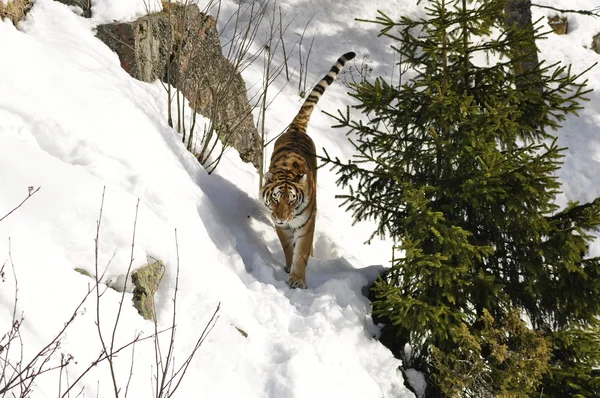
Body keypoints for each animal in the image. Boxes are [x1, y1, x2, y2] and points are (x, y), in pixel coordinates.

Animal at [258, 52, 354, 290]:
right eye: (275, 199)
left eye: (292, 200)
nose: (282, 217)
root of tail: (296, 129)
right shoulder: (281, 226)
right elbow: (288, 247)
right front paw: (288, 266)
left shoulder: (306, 223)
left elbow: (301, 253)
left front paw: (297, 280)